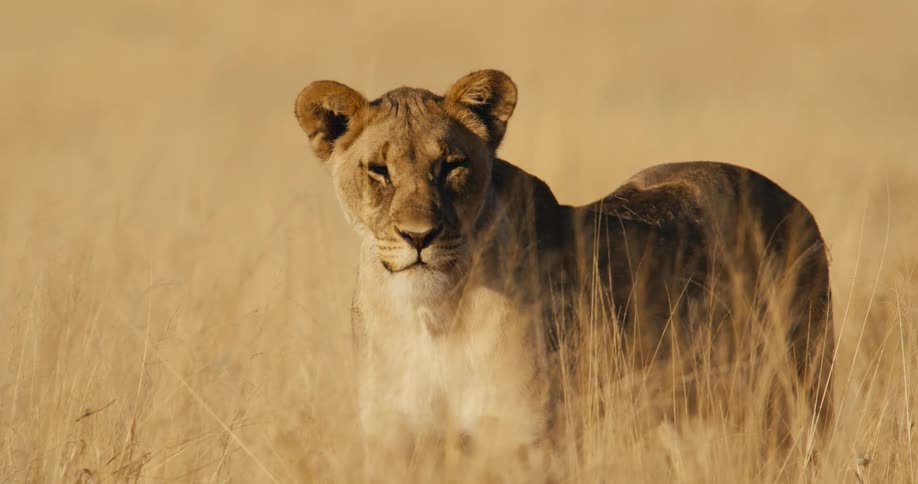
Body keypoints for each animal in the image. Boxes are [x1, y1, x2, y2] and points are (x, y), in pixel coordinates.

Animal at [293, 70, 834, 472]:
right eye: (378, 170)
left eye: (451, 165)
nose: (419, 236)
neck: (432, 315)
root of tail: (793, 200)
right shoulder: (393, 437)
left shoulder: (521, 439)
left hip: (794, 396)